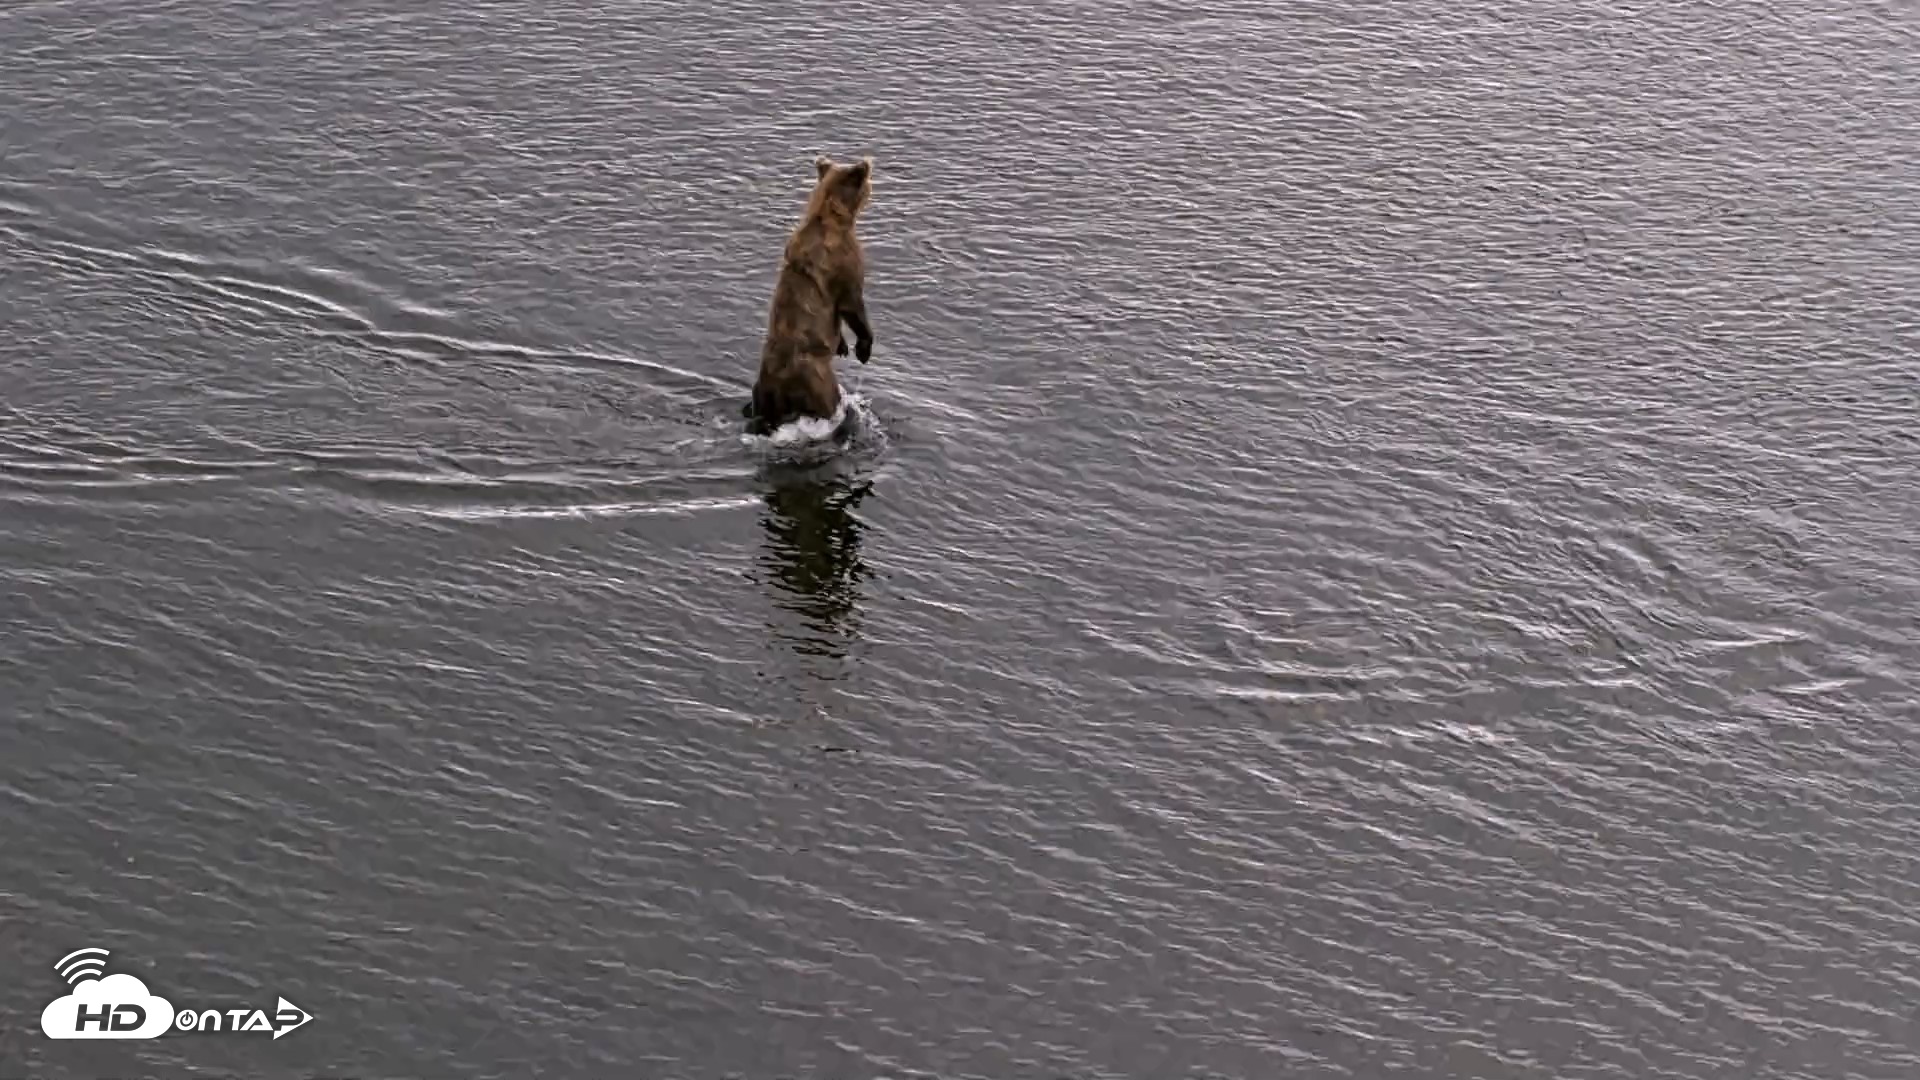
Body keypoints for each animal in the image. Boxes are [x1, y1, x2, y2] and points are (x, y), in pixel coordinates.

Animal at [745, 154, 875, 437]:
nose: (867, 165)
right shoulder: (845, 261)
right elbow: (852, 304)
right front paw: (863, 347)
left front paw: (843, 346)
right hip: (817, 379)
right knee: (828, 400)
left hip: (763, 391)